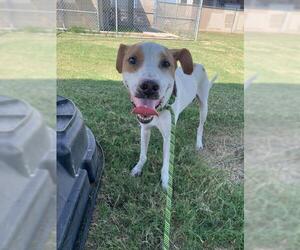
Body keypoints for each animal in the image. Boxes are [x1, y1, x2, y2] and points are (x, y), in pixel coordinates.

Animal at [116, 42, 217, 188]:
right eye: (132, 60)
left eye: (166, 63)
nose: (149, 86)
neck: (160, 110)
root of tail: (198, 64)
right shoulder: (145, 130)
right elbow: (143, 155)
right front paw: (138, 168)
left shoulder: (168, 137)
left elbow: (166, 164)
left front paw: (165, 182)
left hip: (204, 106)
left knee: (200, 126)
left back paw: (198, 143)